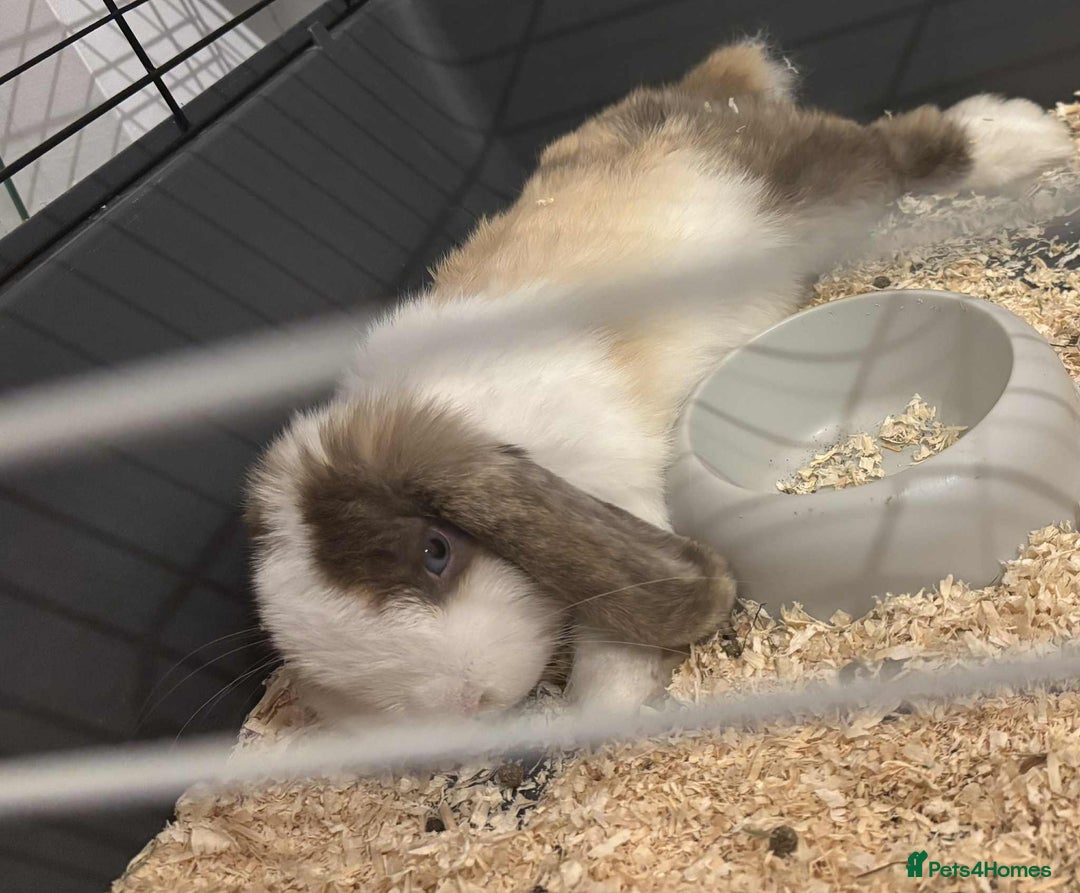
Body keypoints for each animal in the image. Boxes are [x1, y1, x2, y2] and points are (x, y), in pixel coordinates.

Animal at [245, 39, 1074, 721]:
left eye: (436, 552)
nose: (469, 699)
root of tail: (703, 90)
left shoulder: (620, 484)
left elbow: (614, 634)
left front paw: (600, 708)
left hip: (811, 178)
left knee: (903, 145)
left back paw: (1031, 136)